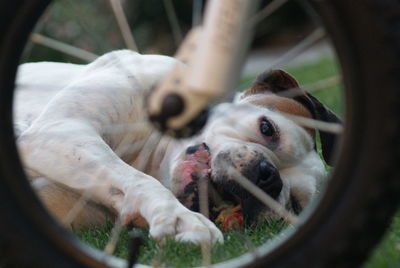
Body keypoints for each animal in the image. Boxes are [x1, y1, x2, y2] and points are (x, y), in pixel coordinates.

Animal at [14, 49, 340, 245]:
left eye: (295, 205)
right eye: (267, 129)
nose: (268, 176)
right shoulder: (62, 129)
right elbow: (138, 179)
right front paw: (179, 218)